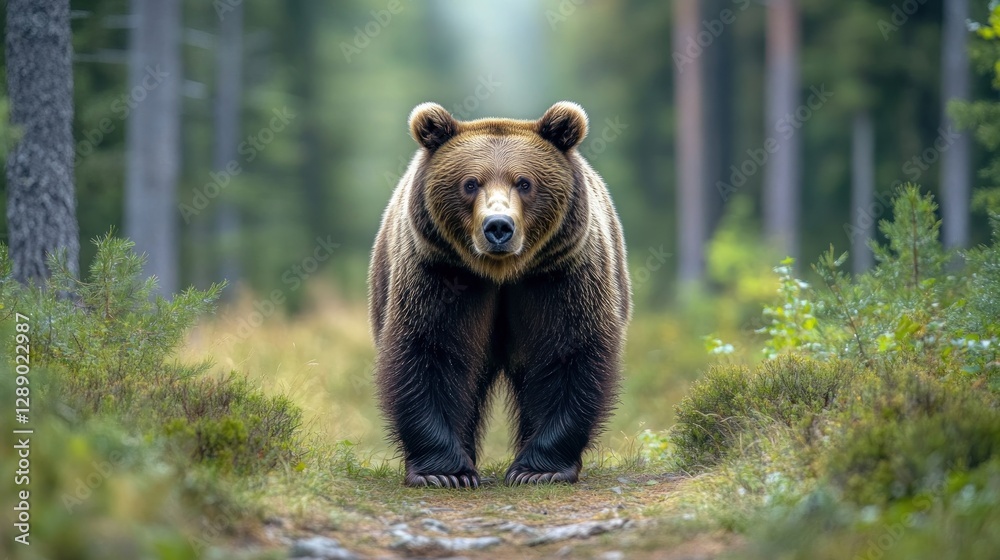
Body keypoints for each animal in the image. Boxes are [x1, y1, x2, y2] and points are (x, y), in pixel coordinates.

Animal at [368, 101, 631, 488]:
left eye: (524, 182)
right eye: (470, 183)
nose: (498, 226)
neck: (502, 273)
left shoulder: (559, 275)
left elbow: (567, 351)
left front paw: (538, 469)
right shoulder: (440, 273)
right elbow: (430, 351)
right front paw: (445, 472)